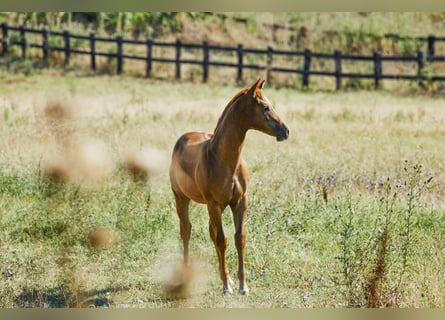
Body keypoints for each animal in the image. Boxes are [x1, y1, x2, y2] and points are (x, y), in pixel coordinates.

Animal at [168, 79, 290, 294]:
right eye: (265, 107)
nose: (285, 131)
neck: (223, 160)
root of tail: (183, 138)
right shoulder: (214, 204)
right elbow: (221, 240)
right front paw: (226, 286)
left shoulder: (240, 202)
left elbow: (239, 238)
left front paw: (241, 285)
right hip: (181, 198)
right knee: (186, 230)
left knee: (210, 232)